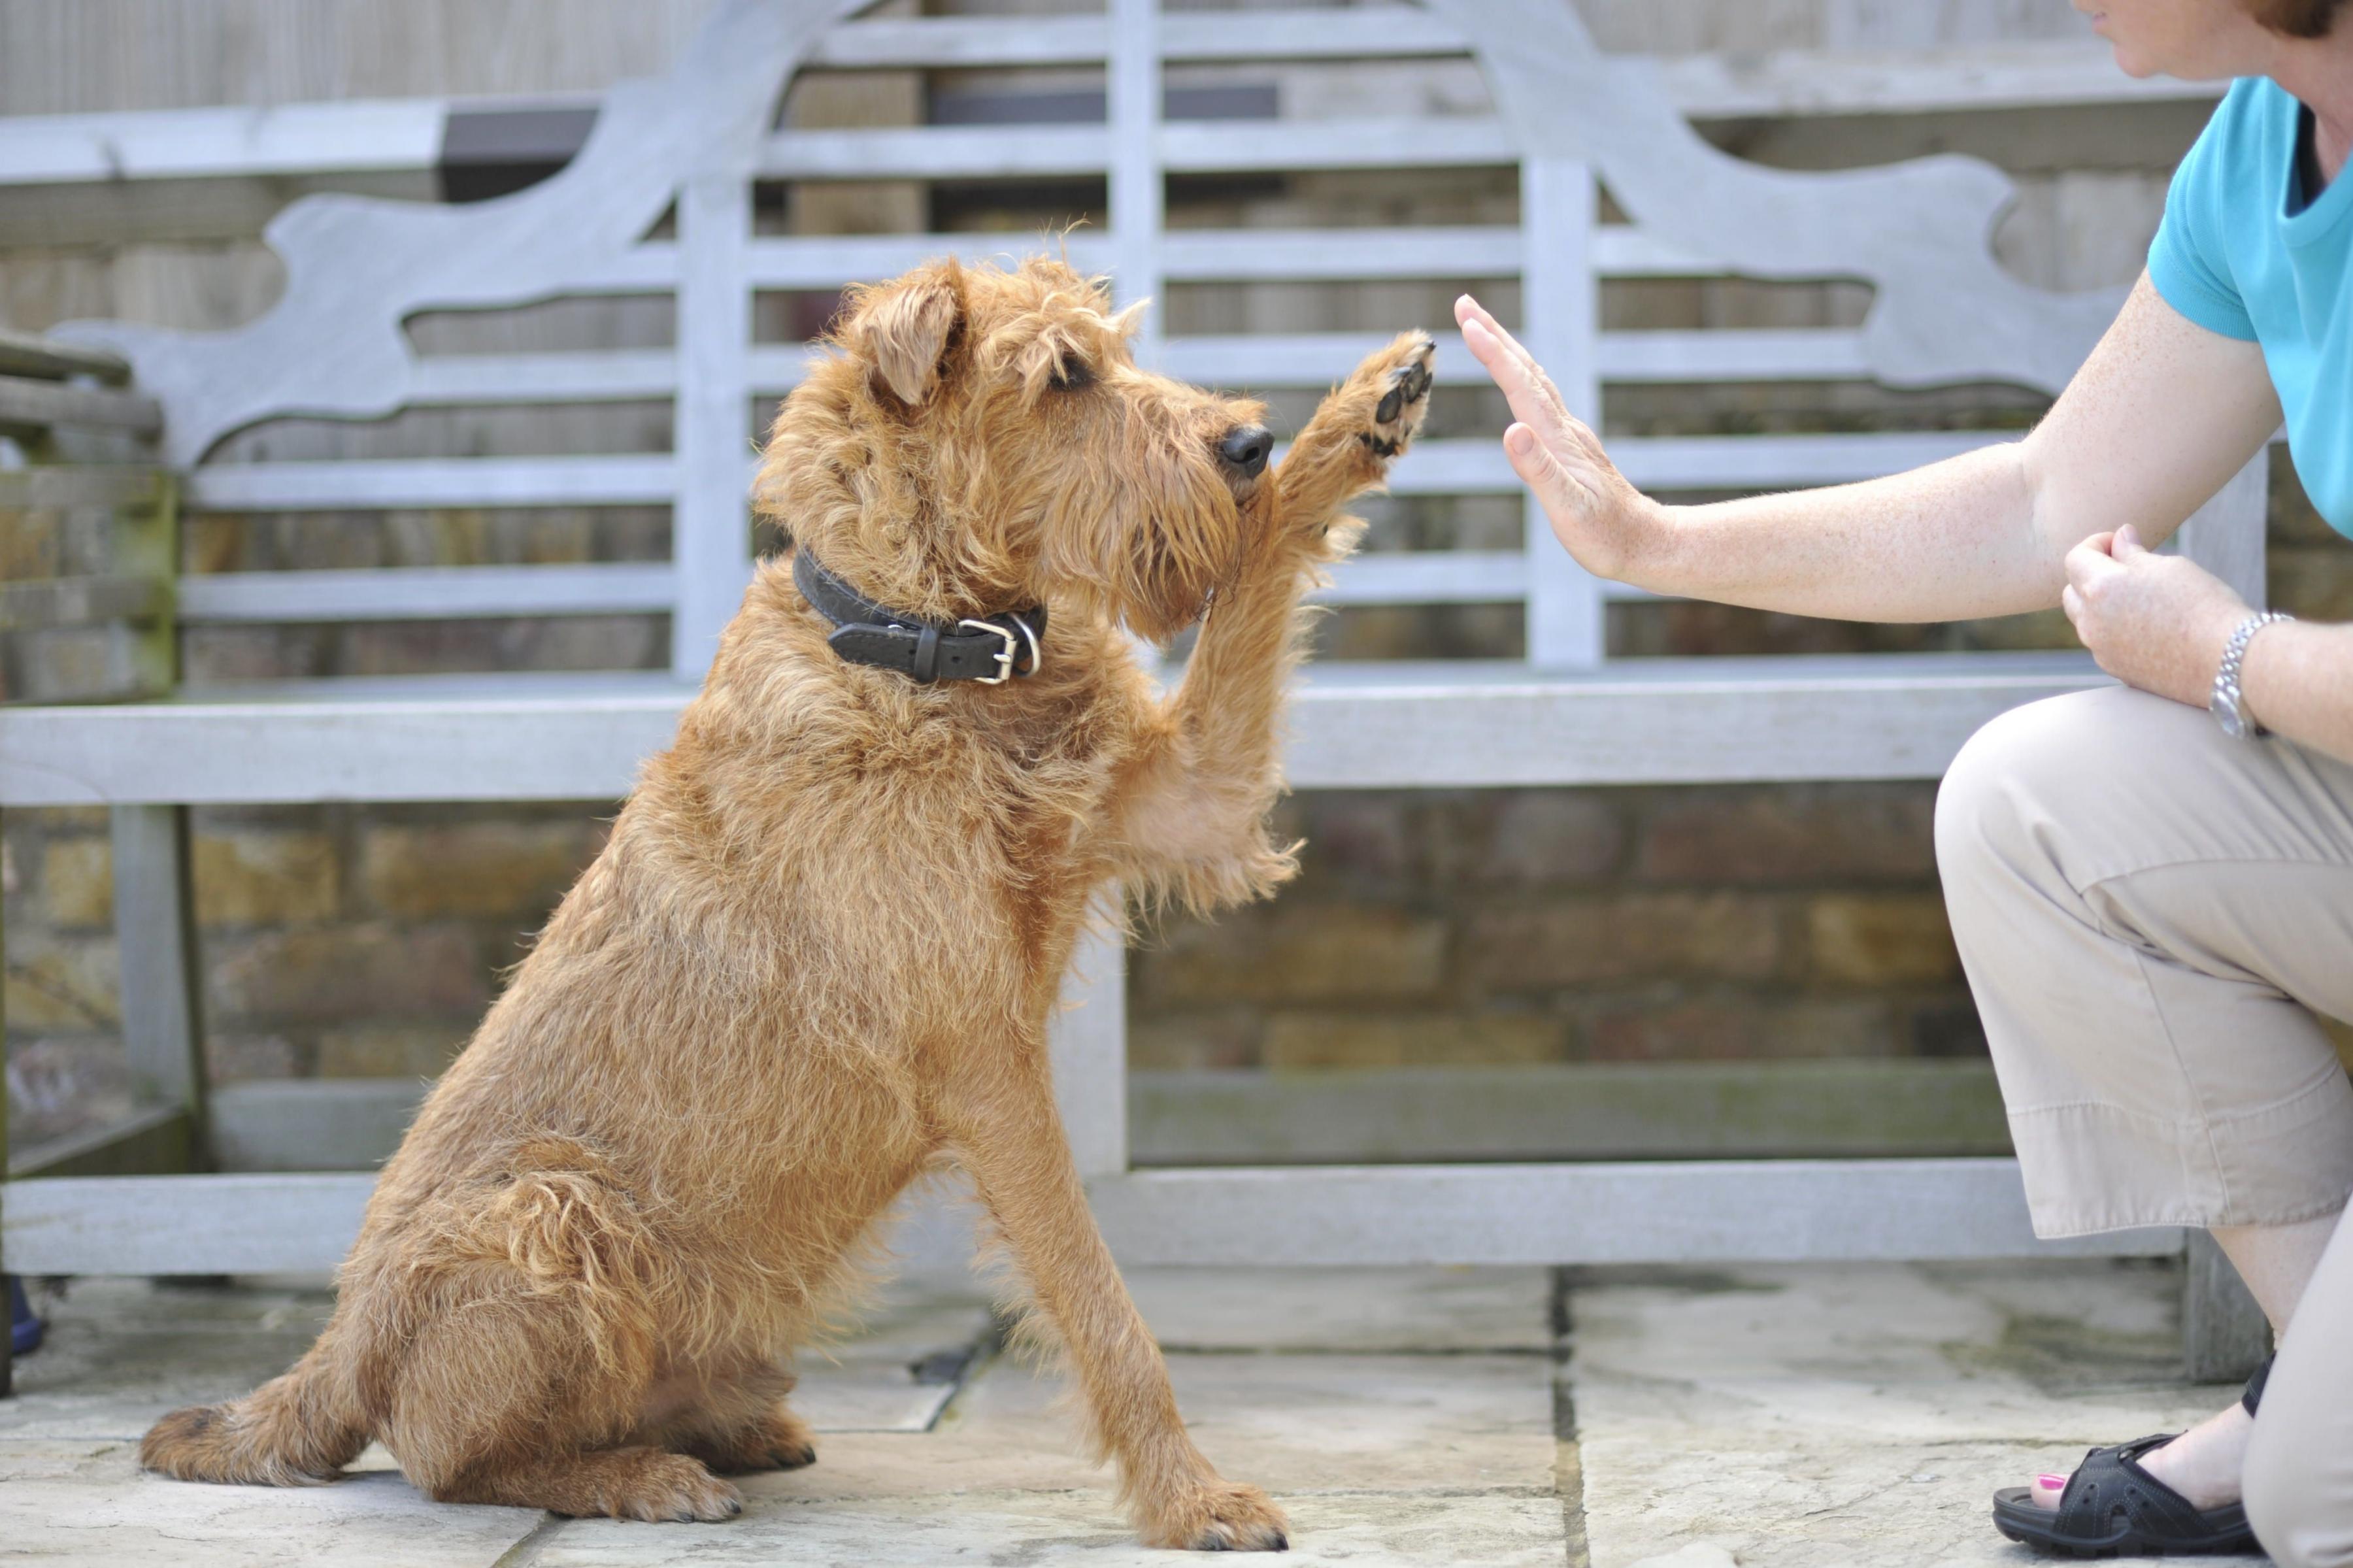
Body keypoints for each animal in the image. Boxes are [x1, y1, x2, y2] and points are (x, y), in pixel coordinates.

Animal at [147, 250, 1440, 1544]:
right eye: (1064, 376)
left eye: (1116, 352)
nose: (1247, 440)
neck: (922, 645)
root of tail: (334, 1350)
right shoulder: (987, 1061)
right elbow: (1098, 1296)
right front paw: (1190, 1495)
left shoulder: (1191, 795)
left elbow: (1263, 568)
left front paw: (1359, 416)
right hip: (552, 1212)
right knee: (450, 1460)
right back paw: (639, 1476)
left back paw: (726, 1429)